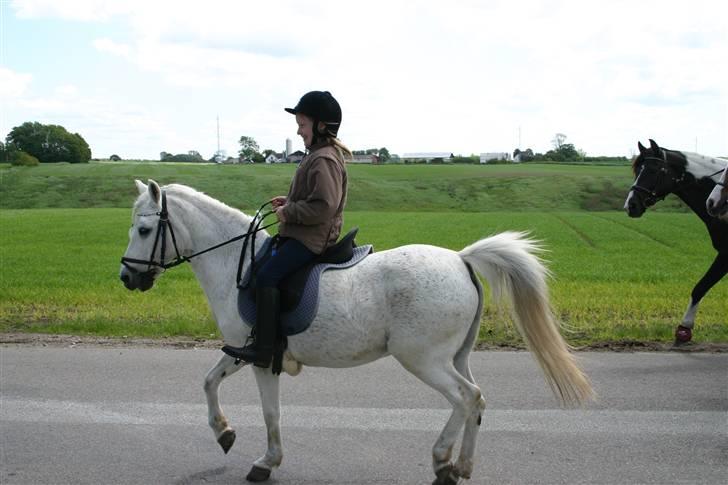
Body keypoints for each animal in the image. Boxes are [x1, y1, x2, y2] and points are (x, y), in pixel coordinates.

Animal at [119, 180, 596, 482]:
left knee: (466, 398)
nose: (127, 278)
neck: (239, 262)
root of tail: (461, 259)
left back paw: (442, 462)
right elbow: (209, 381)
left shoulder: (259, 359)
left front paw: (265, 462)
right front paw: (224, 433)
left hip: (424, 360)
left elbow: (271, 413)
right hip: (455, 356)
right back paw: (461, 466)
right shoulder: (242, 349)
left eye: (144, 229)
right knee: (477, 401)